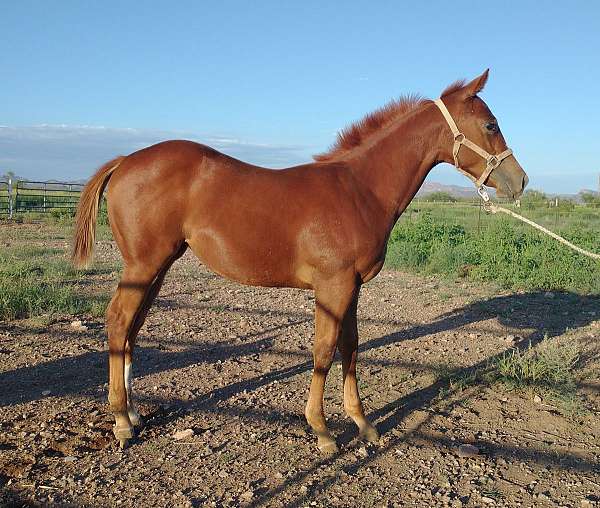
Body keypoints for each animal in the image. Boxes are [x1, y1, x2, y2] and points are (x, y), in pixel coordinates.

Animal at [72, 69, 528, 450]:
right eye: (491, 125)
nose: (520, 181)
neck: (359, 189)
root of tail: (126, 161)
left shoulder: (353, 287)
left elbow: (350, 346)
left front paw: (363, 424)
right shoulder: (333, 285)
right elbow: (324, 350)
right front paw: (322, 430)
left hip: (159, 268)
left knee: (132, 328)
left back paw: (133, 413)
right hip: (144, 265)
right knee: (118, 321)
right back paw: (122, 421)